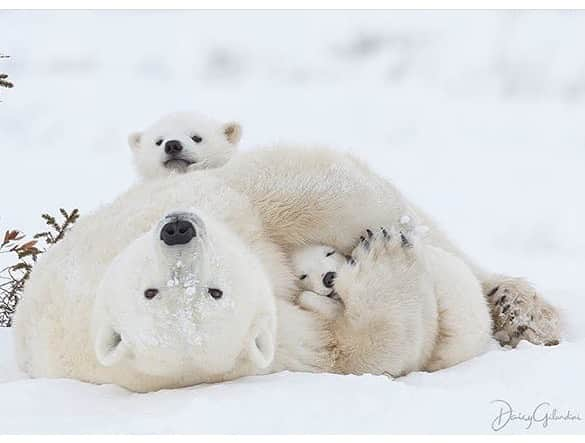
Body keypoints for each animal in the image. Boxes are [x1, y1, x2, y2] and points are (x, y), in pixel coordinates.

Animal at [13, 145, 560, 392]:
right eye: (153, 293)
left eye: (211, 289)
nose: (178, 229)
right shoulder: (277, 349)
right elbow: (356, 350)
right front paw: (383, 259)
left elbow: (288, 191)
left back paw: (522, 309)